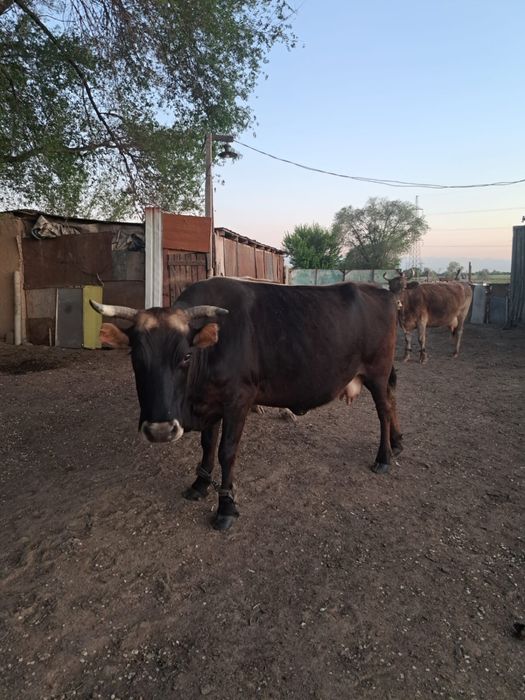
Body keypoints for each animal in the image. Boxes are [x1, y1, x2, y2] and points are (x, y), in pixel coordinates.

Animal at [90, 277, 403, 531]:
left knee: (384, 409)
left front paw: (226, 507)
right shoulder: (211, 405)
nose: (160, 431)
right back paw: (397, 442)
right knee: (392, 400)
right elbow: (207, 445)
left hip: (377, 371)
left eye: (186, 356)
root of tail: (383, 293)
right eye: (135, 357)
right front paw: (200, 483)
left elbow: (226, 452)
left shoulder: (238, 401)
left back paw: (384, 457)